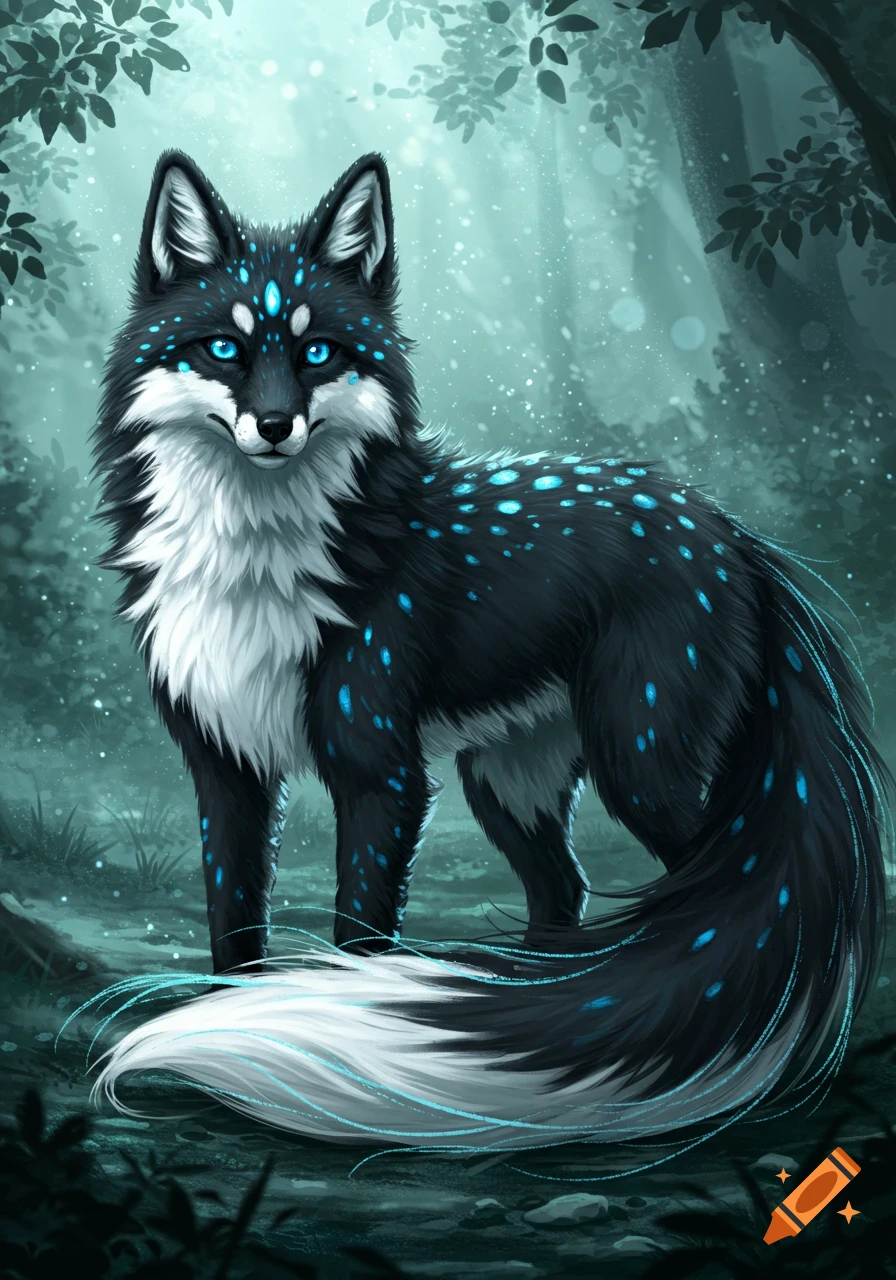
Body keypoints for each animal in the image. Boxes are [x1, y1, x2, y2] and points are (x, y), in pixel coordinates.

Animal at [86, 149, 890, 1151]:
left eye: (318, 353)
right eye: (223, 350)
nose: (273, 426)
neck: (256, 568)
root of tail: (732, 531)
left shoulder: (380, 775)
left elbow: (361, 939)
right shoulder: (225, 771)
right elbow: (233, 930)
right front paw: (231, 1020)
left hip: (639, 765)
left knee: (695, 894)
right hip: (507, 783)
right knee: (568, 894)